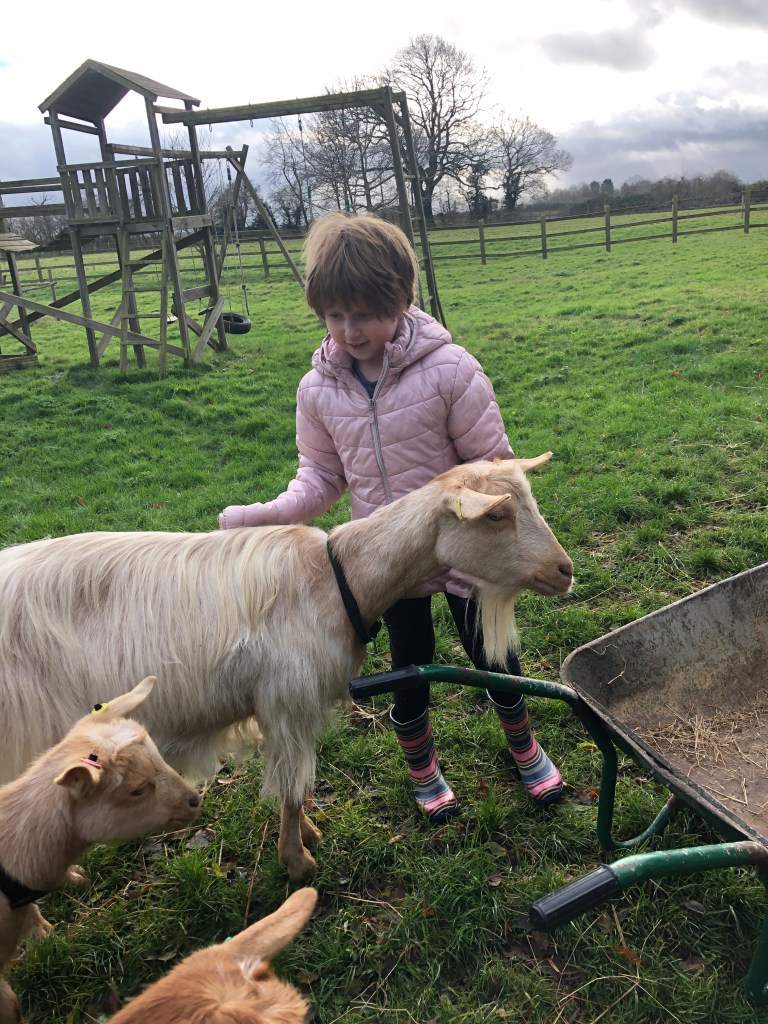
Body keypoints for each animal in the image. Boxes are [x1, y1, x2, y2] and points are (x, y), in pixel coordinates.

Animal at [0, 455, 572, 882]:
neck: (338, 579)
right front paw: (298, 861)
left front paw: (306, 837)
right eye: (496, 517)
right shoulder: (286, 701)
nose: (564, 570)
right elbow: (294, 790)